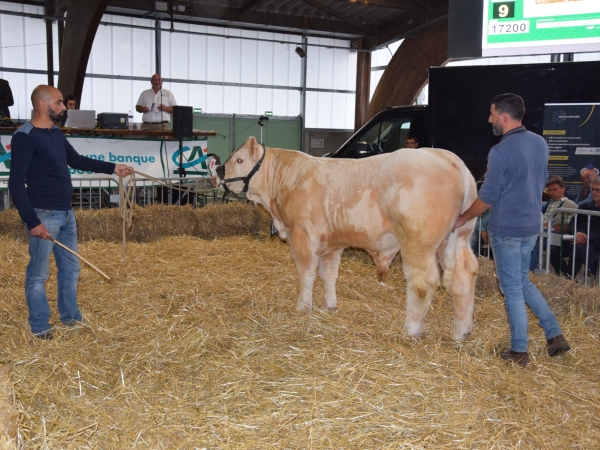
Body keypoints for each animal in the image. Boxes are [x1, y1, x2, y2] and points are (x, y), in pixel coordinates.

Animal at [214, 135, 478, 340]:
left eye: (239, 160)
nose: (216, 173)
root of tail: (444, 156)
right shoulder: (332, 244)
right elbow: (328, 274)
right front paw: (328, 305)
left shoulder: (303, 237)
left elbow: (306, 274)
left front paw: (303, 306)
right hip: (459, 236)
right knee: (464, 275)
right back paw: (461, 332)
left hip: (419, 243)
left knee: (424, 282)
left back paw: (411, 329)